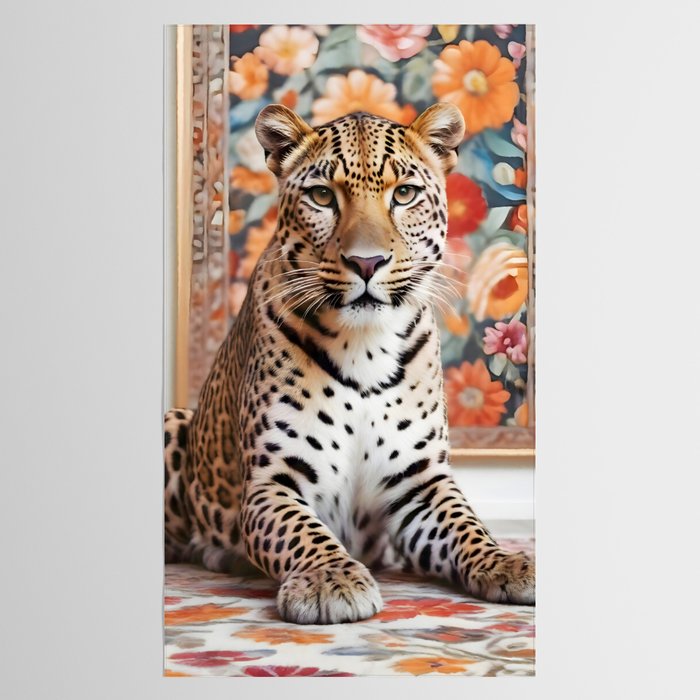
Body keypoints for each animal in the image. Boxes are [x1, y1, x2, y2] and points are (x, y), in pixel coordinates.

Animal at [164, 102, 535, 624]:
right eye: (322, 196)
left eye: (404, 194)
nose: (367, 263)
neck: (365, 348)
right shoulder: (272, 482)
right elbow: (303, 531)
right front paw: (330, 580)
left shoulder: (420, 482)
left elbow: (467, 525)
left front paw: (506, 562)